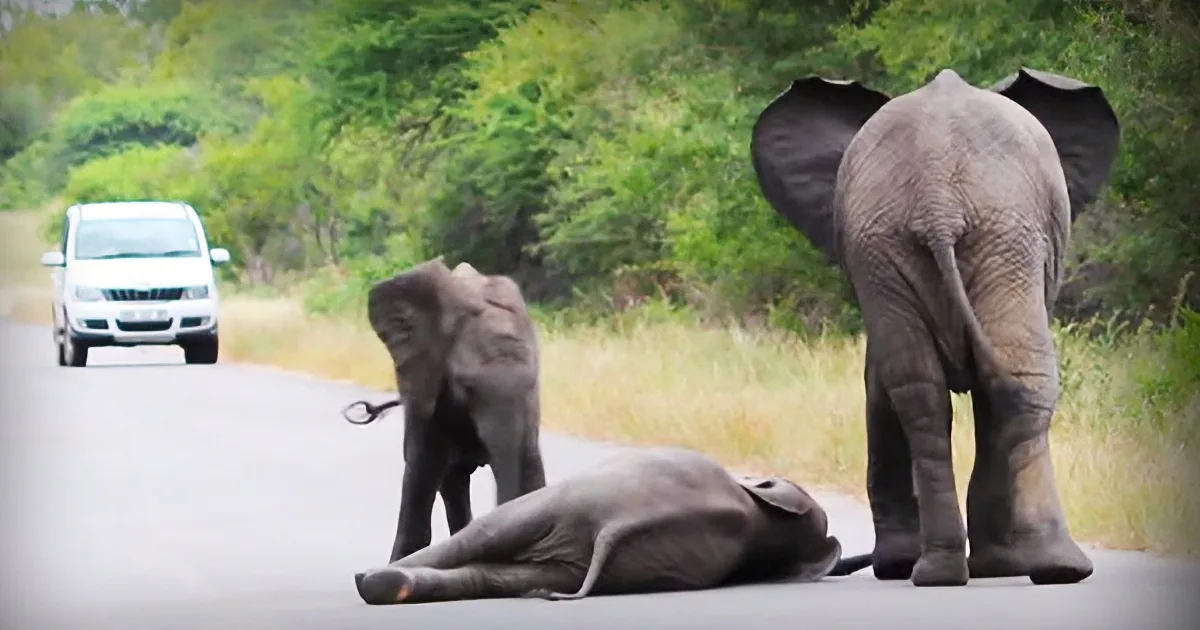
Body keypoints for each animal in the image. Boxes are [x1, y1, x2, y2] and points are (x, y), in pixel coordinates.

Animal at [749, 67, 1120, 587]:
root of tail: (938, 199)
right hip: (989, 241)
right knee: (999, 389)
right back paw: (1027, 566)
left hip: (921, 243)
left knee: (926, 394)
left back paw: (956, 569)